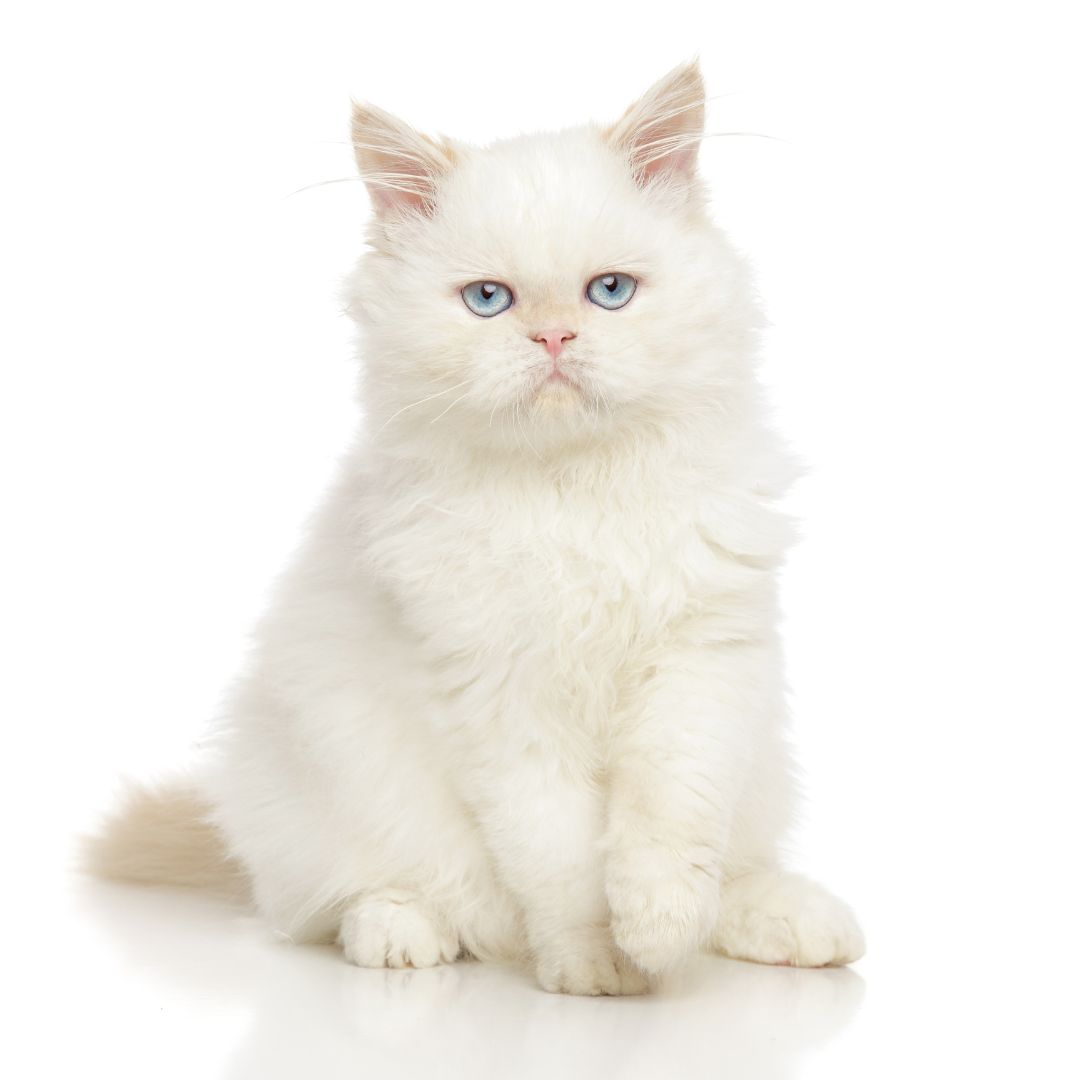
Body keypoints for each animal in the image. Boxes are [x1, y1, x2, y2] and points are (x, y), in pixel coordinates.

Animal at [90, 61, 868, 993]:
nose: (554, 336)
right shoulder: (500, 699)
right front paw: (597, 966)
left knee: (741, 869)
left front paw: (658, 932)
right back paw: (403, 935)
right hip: (309, 782)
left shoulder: (701, 661)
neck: (572, 490)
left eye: (610, 291)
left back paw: (796, 923)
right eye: (488, 301)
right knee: (339, 903)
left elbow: (668, 821)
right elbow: (561, 858)